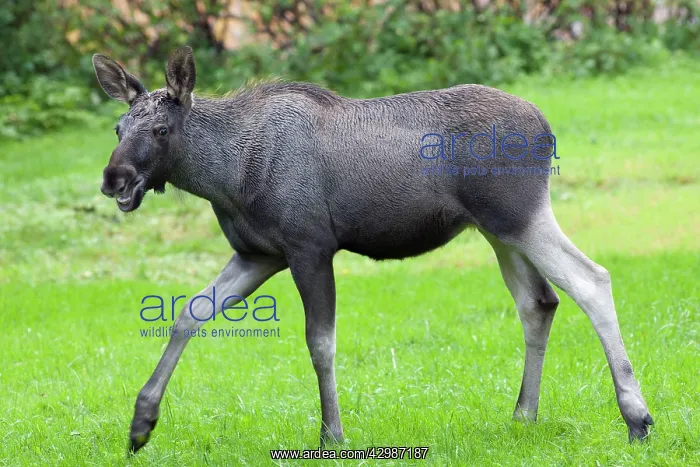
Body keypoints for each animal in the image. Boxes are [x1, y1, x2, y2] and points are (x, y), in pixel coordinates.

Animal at [92, 46, 653, 453]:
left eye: (160, 128)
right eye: (118, 128)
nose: (114, 178)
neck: (225, 177)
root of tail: (547, 128)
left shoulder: (310, 246)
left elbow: (320, 343)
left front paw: (332, 433)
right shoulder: (258, 254)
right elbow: (189, 313)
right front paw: (141, 422)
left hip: (519, 215)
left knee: (591, 280)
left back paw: (637, 418)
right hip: (497, 231)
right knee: (539, 302)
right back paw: (524, 414)